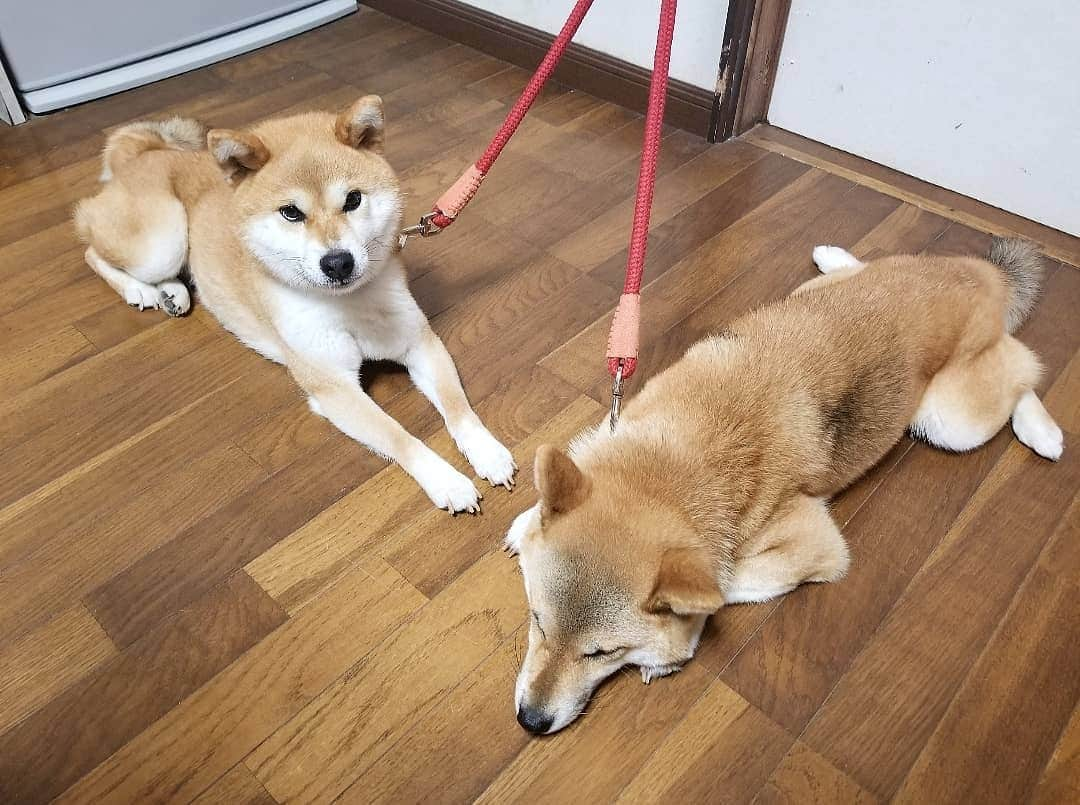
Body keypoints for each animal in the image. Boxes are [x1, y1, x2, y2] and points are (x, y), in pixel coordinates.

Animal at [75, 98, 514, 507]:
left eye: (352, 200)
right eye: (290, 213)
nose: (337, 262)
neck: (348, 303)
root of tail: (146, 153)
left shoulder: (420, 343)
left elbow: (458, 406)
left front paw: (487, 451)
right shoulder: (334, 387)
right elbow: (400, 437)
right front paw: (447, 481)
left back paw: (174, 293)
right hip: (161, 241)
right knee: (93, 253)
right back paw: (142, 291)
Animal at [505, 239, 1062, 734]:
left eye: (603, 653)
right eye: (537, 620)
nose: (531, 721)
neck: (674, 462)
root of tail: (976, 275)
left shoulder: (818, 545)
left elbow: (723, 586)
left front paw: (676, 645)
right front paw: (526, 520)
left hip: (952, 421)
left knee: (1023, 367)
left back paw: (1043, 431)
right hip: (811, 296)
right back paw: (836, 255)